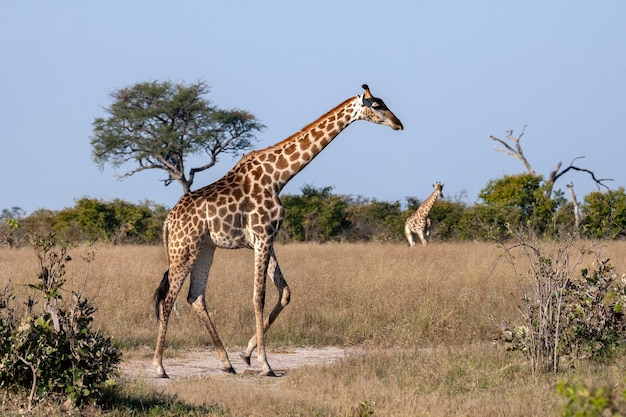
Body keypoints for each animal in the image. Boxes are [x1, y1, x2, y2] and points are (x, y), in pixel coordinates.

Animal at [154, 84, 402, 376]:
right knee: (168, 299)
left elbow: (284, 292)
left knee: (195, 296)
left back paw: (226, 363)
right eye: (377, 105)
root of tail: (169, 220)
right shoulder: (262, 236)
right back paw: (159, 366)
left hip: (205, 248)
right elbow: (258, 296)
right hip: (184, 250)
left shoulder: (267, 239)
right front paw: (265, 363)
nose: (398, 124)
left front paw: (246, 354)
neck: (278, 177)